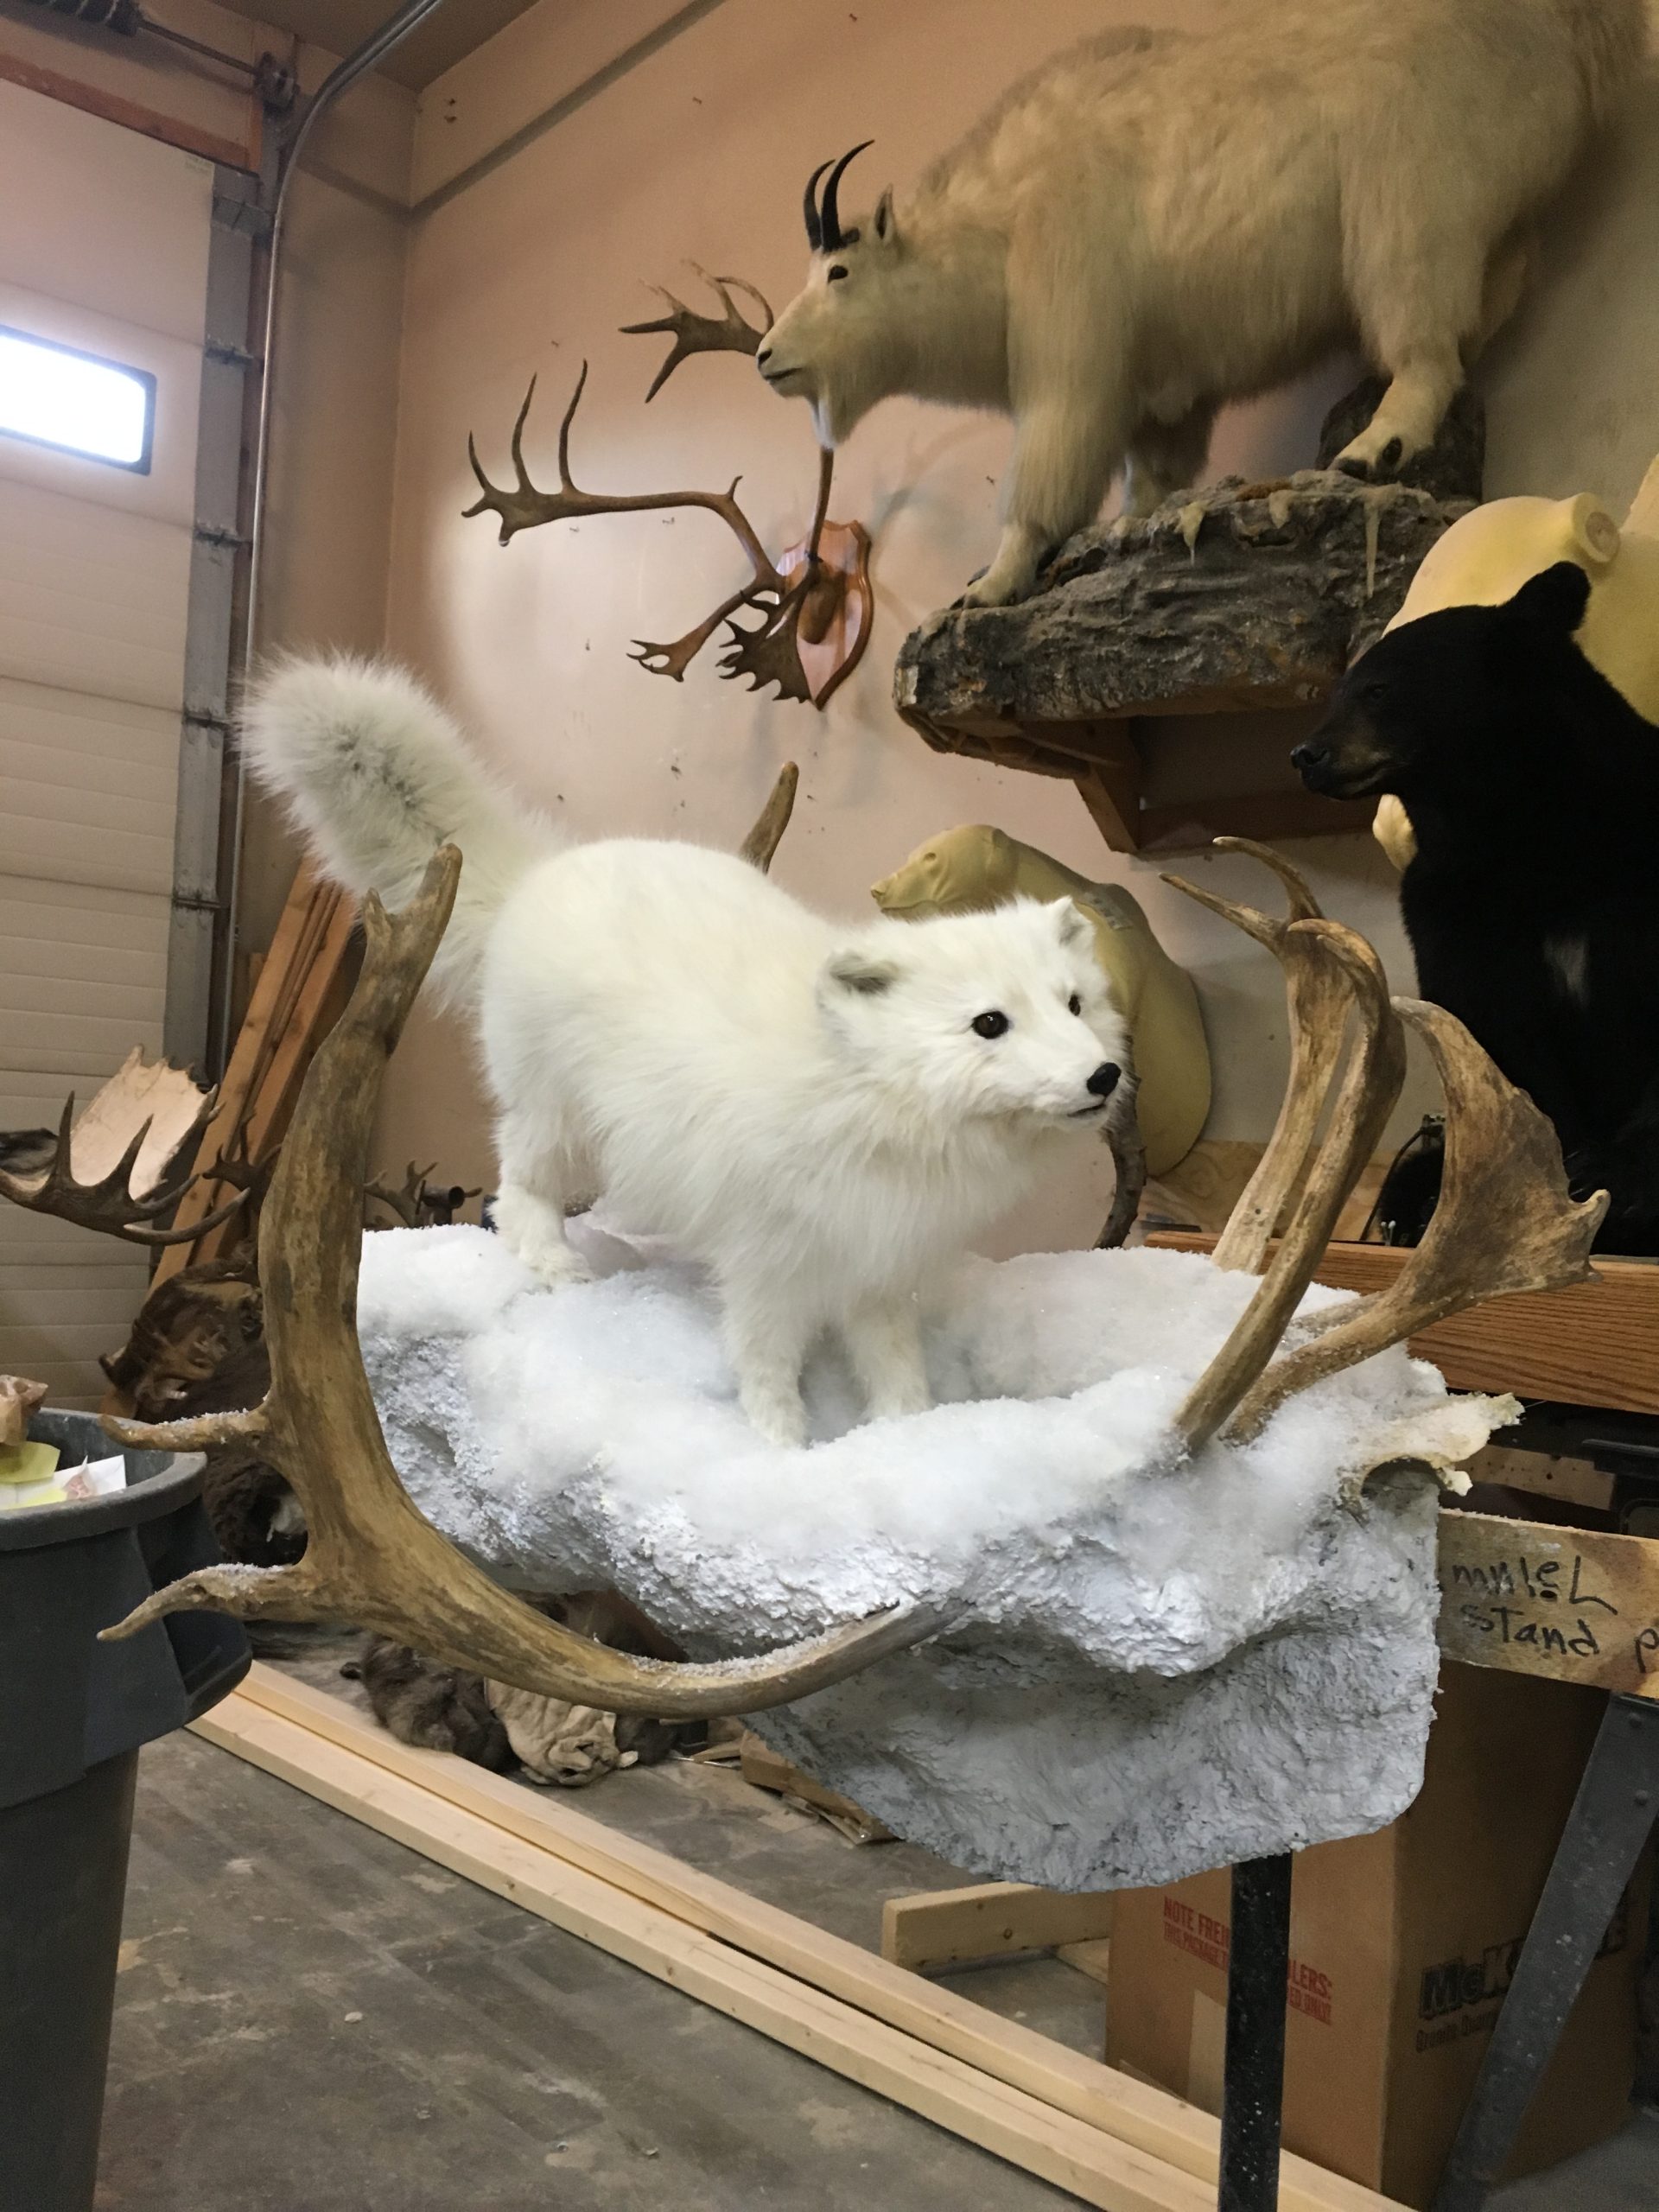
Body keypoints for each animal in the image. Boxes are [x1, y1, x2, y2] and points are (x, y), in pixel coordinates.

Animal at [241, 657, 1131, 1445]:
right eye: (989, 1024)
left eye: (1074, 1005)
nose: (1104, 1074)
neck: (867, 1098)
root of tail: (538, 876)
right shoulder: (769, 1265)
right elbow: (765, 1363)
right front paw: (783, 1449)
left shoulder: (878, 1269)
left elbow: (893, 1365)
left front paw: (907, 1436)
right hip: (559, 1119)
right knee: (515, 1187)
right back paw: (554, 1264)